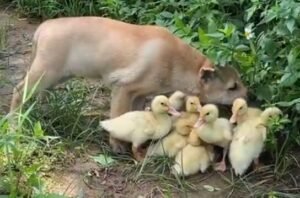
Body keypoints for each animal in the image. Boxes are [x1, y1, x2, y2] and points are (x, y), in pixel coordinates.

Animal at [9, 17, 246, 153]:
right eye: (232, 87)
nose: (249, 96)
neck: (180, 63)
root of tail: (42, 28)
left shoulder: (140, 95)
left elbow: (137, 115)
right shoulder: (123, 89)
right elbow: (118, 117)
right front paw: (117, 145)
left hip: (54, 77)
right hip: (44, 73)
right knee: (18, 91)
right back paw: (14, 122)